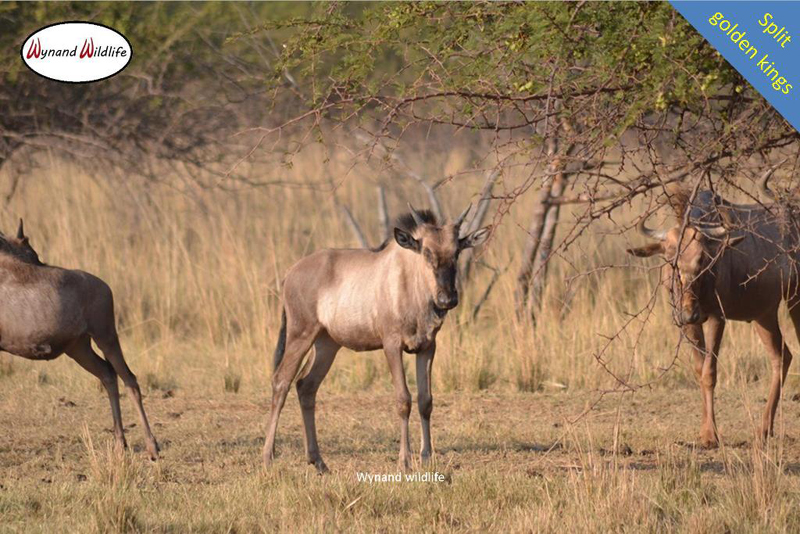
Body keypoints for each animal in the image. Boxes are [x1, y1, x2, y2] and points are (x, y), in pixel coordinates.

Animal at [0, 220, 158, 459]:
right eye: (31, 253)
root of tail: (105, 286)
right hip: (79, 348)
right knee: (107, 374)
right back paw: (119, 444)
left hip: (106, 336)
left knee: (129, 379)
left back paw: (151, 447)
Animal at [263, 205, 490, 472]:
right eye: (426, 251)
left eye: (456, 251)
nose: (447, 299)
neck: (410, 285)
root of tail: (289, 274)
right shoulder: (391, 345)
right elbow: (403, 400)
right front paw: (404, 461)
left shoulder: (427, 347)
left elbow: (425, 400)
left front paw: (426, 456)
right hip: (300, 334)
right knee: (281, 381)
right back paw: (267, 457)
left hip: (326, 344)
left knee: (306, 386)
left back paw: (318, 461)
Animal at [627, 164, 800, 447]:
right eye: (670, 258)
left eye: (703, 258)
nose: (690, 312)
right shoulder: (687, 325)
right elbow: (699, 370)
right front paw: (704, 431)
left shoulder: (717, 318)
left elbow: (710, 371)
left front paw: (711, 436)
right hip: (764, 314)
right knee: (782, 356)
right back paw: (765, 430)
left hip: (794, 299)